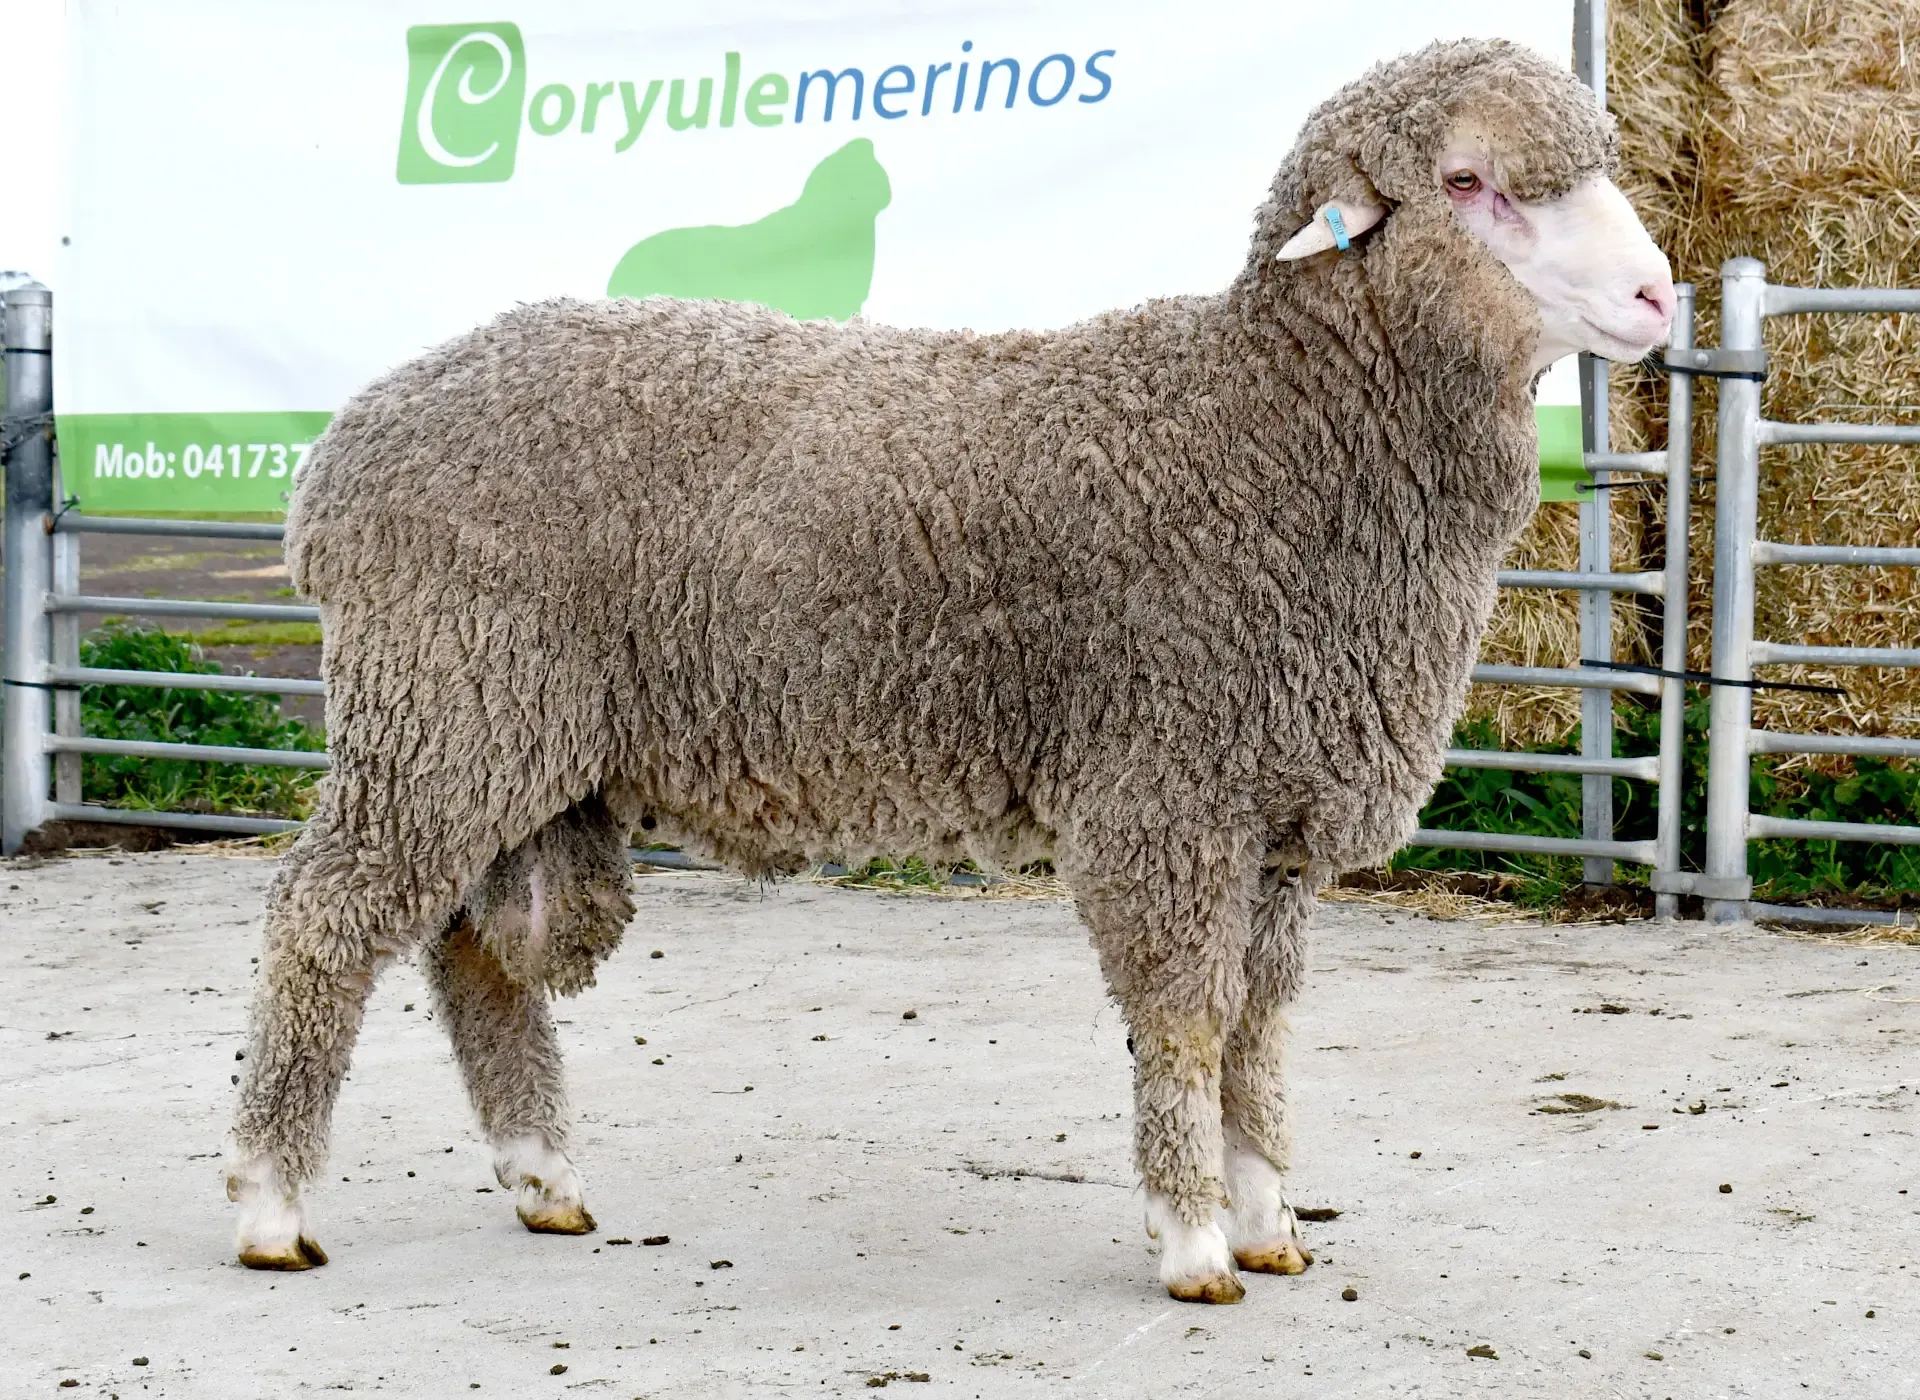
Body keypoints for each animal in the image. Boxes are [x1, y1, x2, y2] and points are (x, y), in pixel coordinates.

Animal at [225, 37, 1673, 1303]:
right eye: (1471, 181)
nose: (1659, 296)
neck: (1277, 428)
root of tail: (345, 448)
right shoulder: (1167, 794)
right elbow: (1189, 1024)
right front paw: (1195, 1245)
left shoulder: (1268, 814)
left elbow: (1259, 1032)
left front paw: (1270, 1223)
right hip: (445, 699)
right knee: (322, 919)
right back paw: (270, 1206)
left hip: (507, 737)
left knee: (467, 943)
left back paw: (541, 1179)